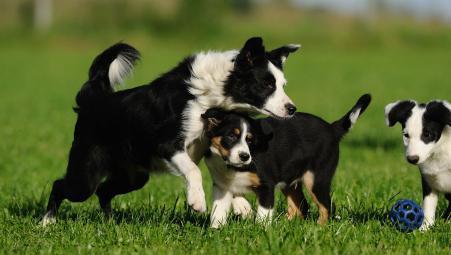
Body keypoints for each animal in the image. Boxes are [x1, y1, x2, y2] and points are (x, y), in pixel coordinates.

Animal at [42, 37, 302, 225]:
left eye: (282, 85)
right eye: (266, 84)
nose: (292, 109)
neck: (211, 94)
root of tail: (93, 100)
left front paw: (241, 206)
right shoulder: (167, 144)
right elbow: (194, 171)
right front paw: (197, 202)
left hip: (134, 176)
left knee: (104, 191)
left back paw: (110, 222)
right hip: (86, 174)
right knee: (61, 185)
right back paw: (47, 222)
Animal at [203, 94, 372, 228]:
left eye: (250, 140)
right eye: (231, 136)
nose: (244, 156)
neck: (233, 167)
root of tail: (331, 128)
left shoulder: (267, 185)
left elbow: (263, 214)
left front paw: (261, 231)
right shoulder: (221, 186)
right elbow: (218, 211)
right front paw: (216, 231)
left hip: (316, 179)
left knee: (327, 207)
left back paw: (319, 228)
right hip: (290, 180)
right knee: (300, 207)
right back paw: (287, 224)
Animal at [384, 99, 451, 231]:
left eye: (427, 134)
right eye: (406, 135)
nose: (412, 159)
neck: (437, 153)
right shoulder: (428, 181)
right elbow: (428, 206)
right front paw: (424, 228)